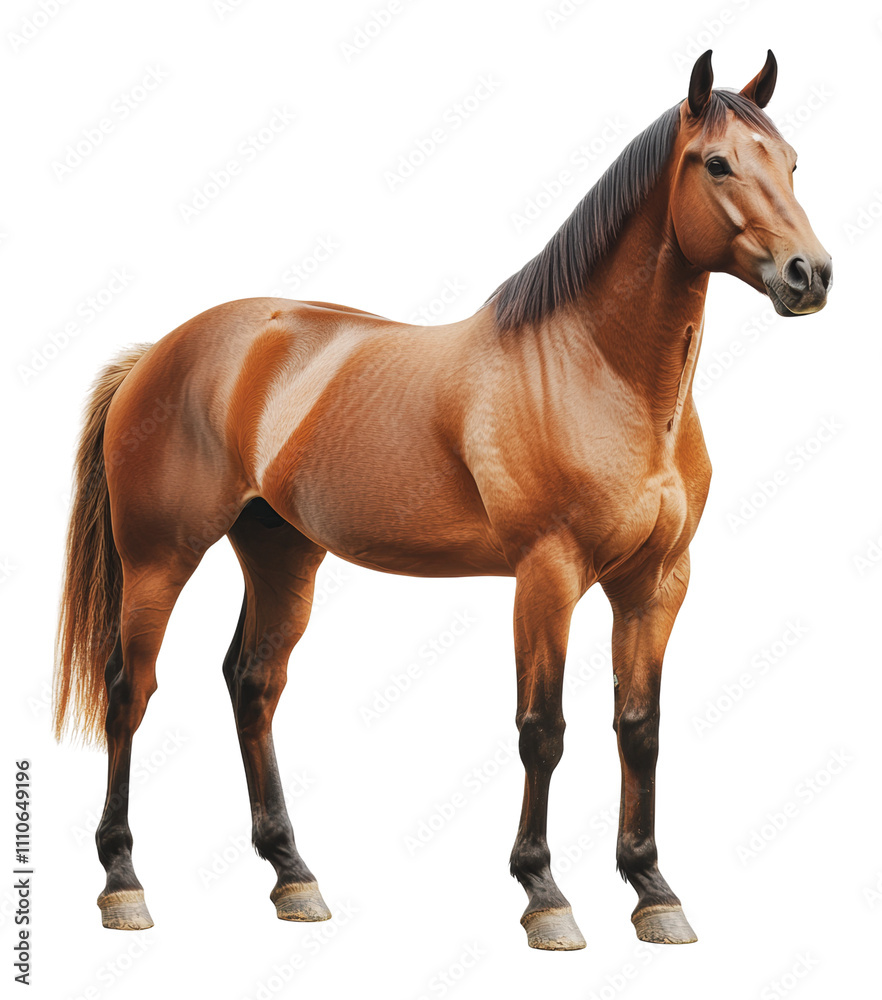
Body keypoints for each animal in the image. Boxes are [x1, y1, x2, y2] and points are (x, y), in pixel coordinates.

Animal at [53, 49, 831, 950]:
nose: (810, 275)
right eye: (716, 164)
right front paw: (544, 895)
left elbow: (640, 730)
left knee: (251, 683)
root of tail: (159, 351)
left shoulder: (657, 583)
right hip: (159, 558)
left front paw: (653, 891)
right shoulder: (547, 576)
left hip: (280, 552)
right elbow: (543, 731)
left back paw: (293, 877)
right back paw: (123, 883)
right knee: (129, 691)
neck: (597, 370)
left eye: (792, 162)